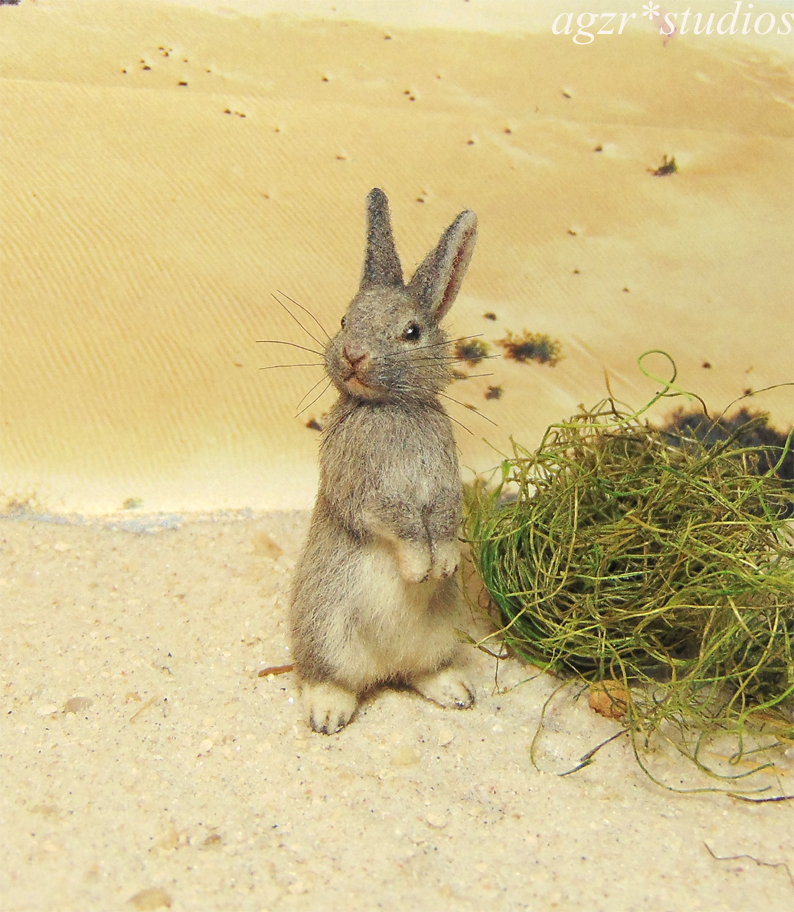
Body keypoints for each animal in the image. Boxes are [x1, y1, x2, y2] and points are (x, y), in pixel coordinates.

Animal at [289, 187, 478, 734]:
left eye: (412, 332)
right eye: (344, 320)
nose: (353, 354)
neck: (392, 406)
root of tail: (384, 671)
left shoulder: (446, 485)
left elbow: (444, 517)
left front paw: (444, 564)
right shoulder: (365, 491)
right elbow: (400, 522)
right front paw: (420, 569)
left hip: (442, 633)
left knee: (422, 671)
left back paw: (456, 692)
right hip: (326, 631)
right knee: (327, 677)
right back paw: (327, 713)